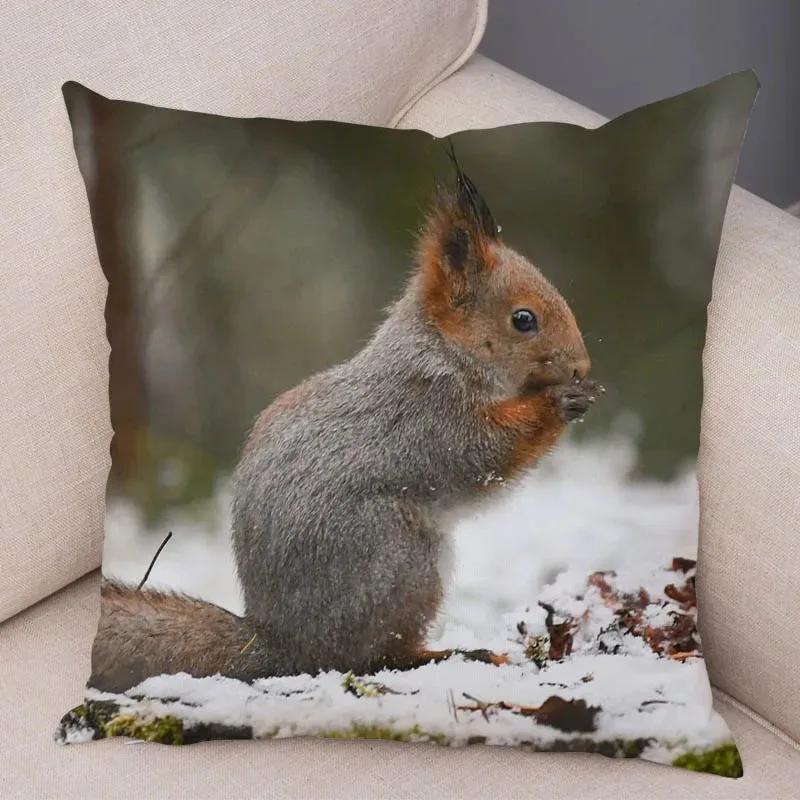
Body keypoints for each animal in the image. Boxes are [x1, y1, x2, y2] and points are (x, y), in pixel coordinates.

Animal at [91, 152, 600, 693]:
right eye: (523, 319)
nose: (581, 367)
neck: (446, 351)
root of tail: (283, 643)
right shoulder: (427, 415)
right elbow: (482, 455)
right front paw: (559, 403)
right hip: (398, 558)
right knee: (372, 656)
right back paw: (453, 654)